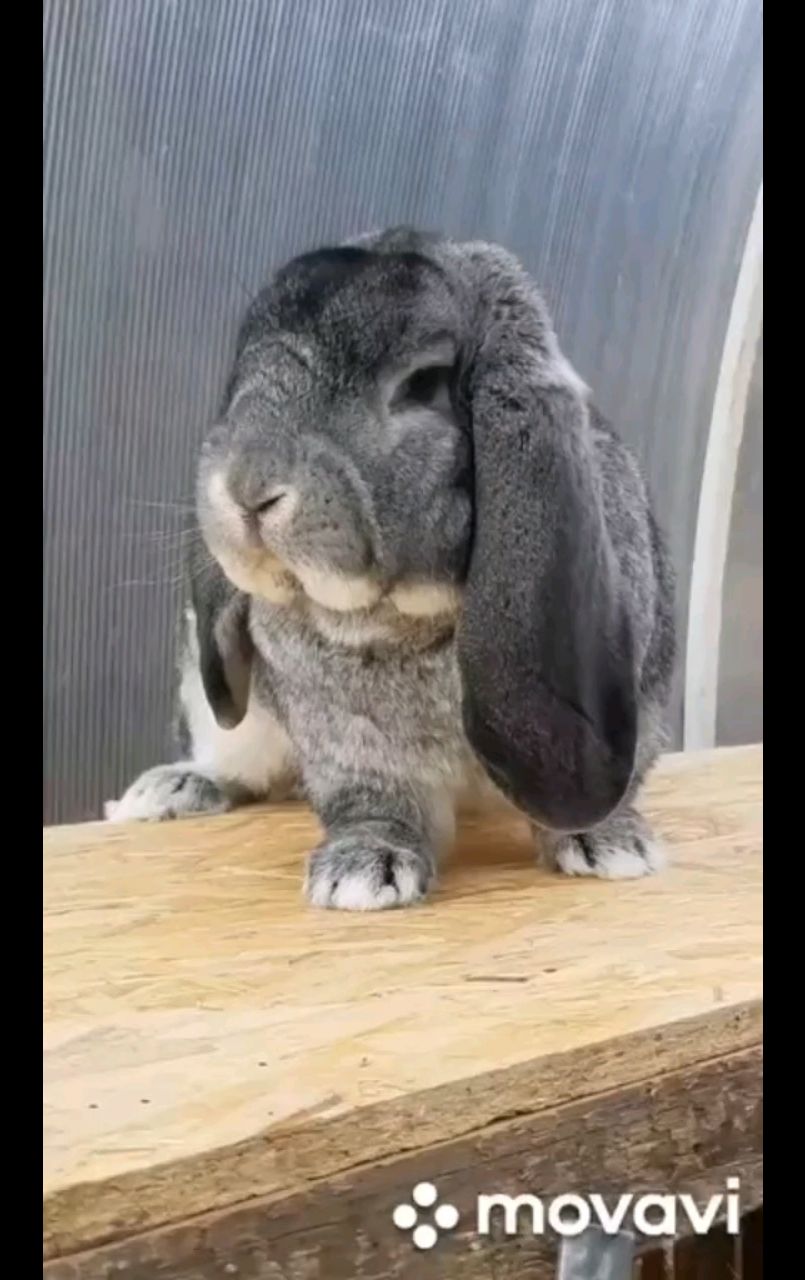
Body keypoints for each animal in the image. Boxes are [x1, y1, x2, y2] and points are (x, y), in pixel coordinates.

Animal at [105, 227, 676, 909]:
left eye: (422, 383)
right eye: (246, 370)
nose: (246, 487)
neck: (399, 617)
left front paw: (611, 846)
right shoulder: (353, 751)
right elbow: (375, 808)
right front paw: (361, 872)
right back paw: (171, 789)